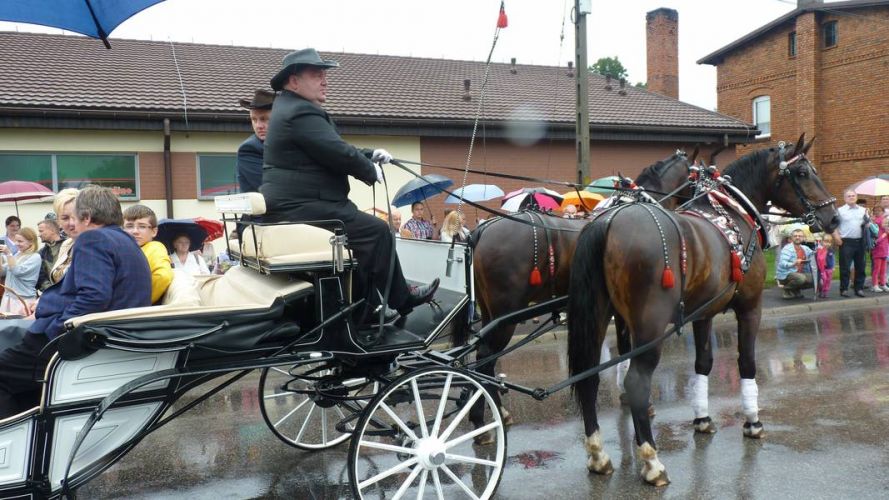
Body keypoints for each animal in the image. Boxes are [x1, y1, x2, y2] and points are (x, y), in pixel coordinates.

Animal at [462, 150, 696, 440]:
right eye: (693, 176)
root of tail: (482, 229)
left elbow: (624, 348)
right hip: (504, 314)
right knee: (485, 357)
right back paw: (484, 422)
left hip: (489, 312)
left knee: (484, 359)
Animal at [564, 135, 836, 486]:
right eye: (802, 172)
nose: (833, 218)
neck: (732, 214)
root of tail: (608, 223)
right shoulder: (750, 307)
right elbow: (747, 363)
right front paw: (752, 422)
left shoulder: (702, 313)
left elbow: (703, 364)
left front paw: (702, 419)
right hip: (648, 326)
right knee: (637, 383)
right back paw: (651, 461)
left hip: (599, 316)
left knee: (589, 379)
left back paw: (598, 456)